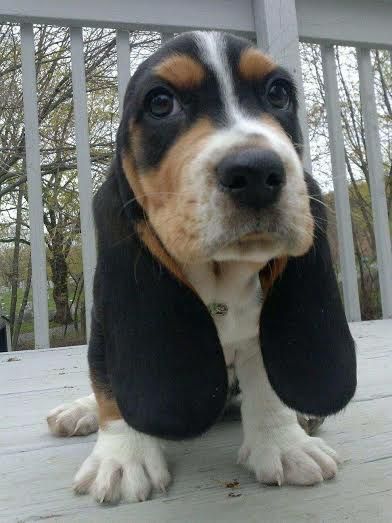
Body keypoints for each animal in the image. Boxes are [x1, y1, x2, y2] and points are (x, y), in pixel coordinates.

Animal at [47, 30, 356, 506]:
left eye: (278, 93)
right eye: (160, 103)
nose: (256, 171)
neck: (218, 275)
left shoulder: (260, 333)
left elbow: (266, 382)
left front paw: (285, 446)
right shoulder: (104, 327)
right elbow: (110, 387)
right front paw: (125, 458)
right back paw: (78, 412)